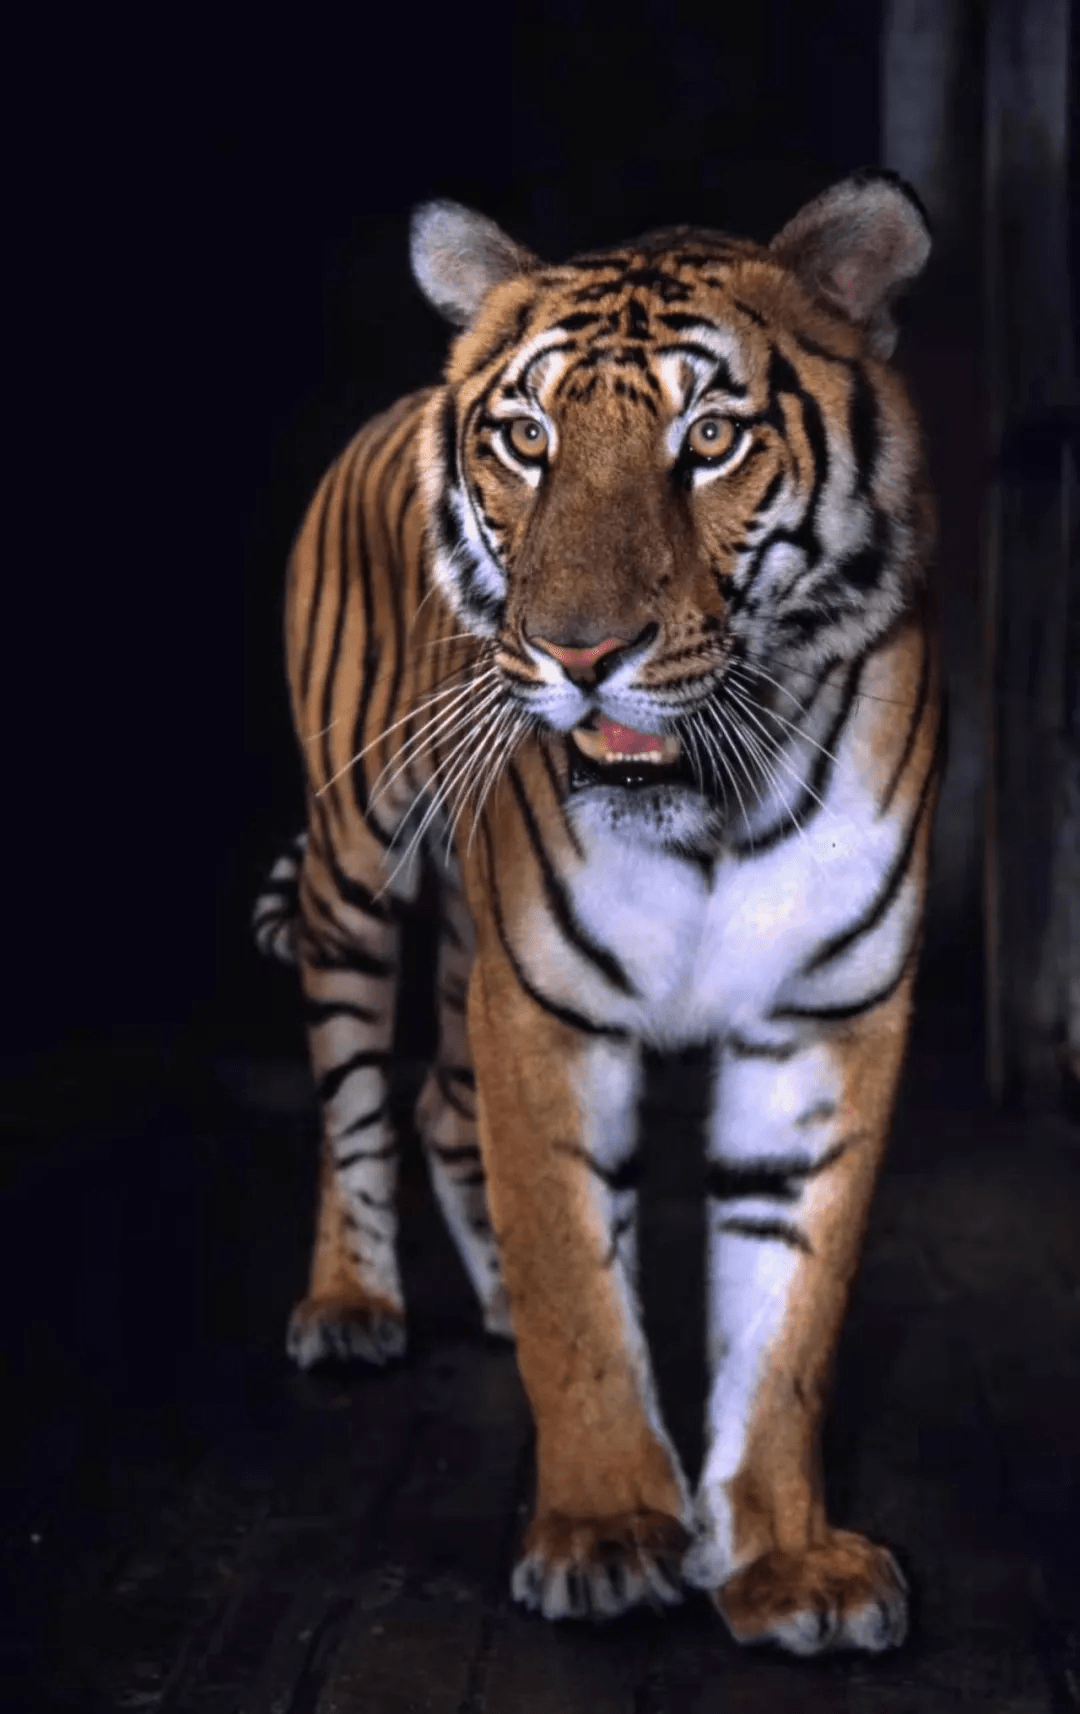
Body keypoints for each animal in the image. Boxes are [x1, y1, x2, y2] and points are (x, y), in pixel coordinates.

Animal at [255, 170, 942, 1655]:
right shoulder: (544, 1009)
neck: (716, 803)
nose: (577, 652)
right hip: (357, 868)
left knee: (440, 1106)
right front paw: (610, 1533)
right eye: (528, 439)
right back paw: (351, 1302)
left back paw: (486, 1302)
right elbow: (581, 1286)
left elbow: (787, 1322)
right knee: (353, 1090)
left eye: (712, 437)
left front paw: (784, 1559)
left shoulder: (824, 1021)